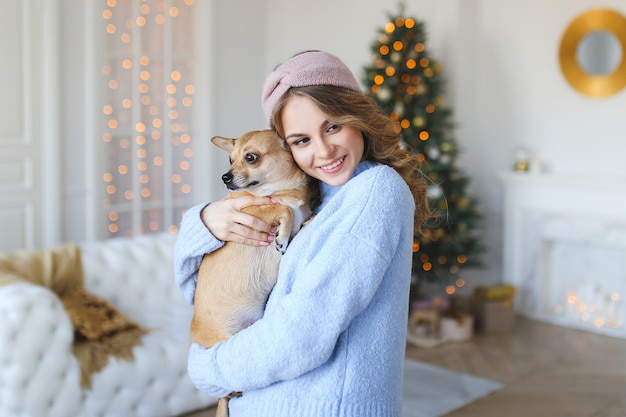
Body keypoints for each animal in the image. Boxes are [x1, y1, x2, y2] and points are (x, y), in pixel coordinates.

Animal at [188, 128, 310, 414]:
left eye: (250, 158)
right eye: (229, 160)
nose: (225, 177)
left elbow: (297, 214)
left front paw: (300, 225)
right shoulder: (251, 212)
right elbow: (284, 209)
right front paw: (282, 237)